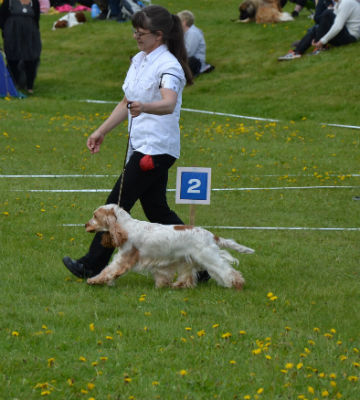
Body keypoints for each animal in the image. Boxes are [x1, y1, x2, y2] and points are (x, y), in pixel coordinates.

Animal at [84, 205, 255, 290]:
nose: (85, 224)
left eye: (95, 216)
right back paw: (177, 285)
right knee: (187, 278)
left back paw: (237, 284)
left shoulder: (124, 258)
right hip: (188, 260)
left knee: (228, 271)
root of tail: (211, 235)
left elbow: (108, 270)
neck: (125, 228)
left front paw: (94, 280)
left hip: (208, 256)